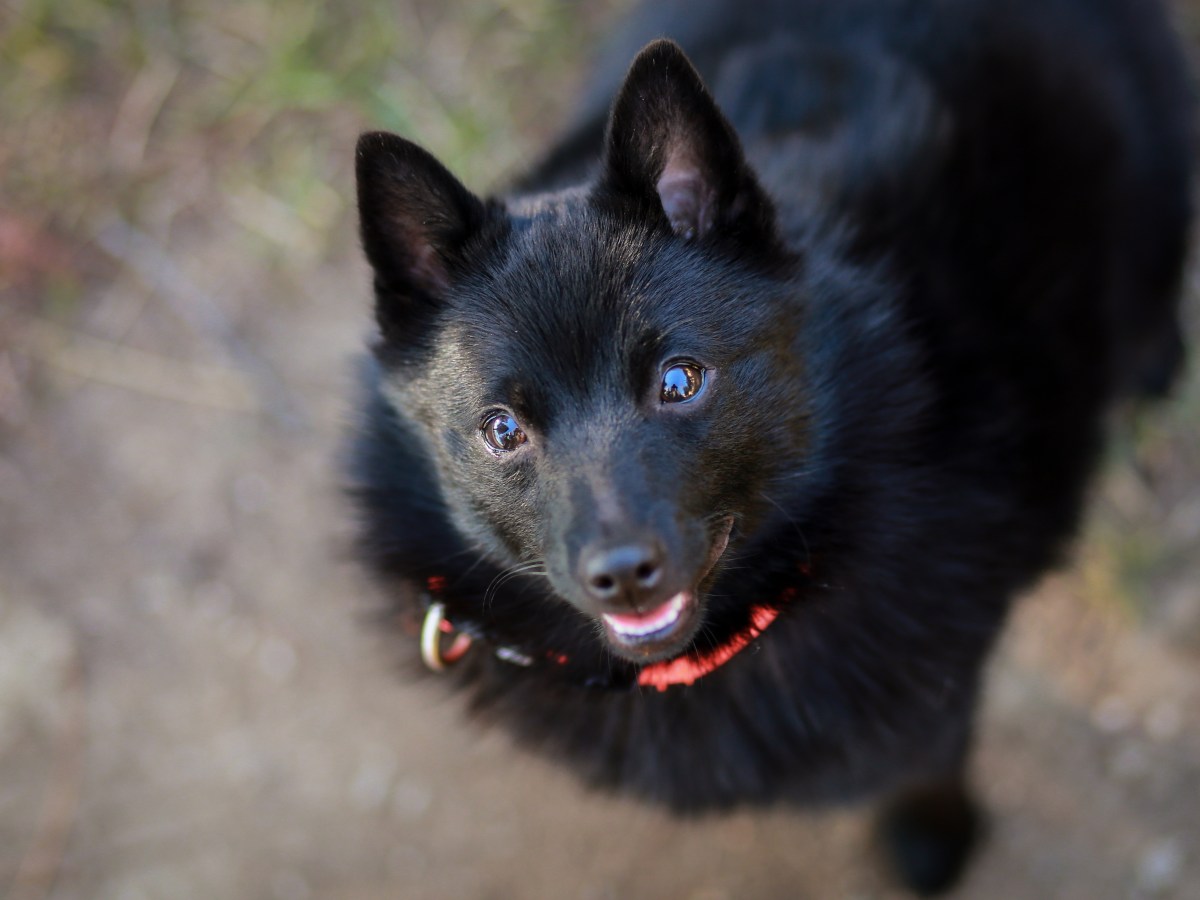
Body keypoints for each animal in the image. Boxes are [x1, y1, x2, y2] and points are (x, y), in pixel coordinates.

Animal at [348, 1, 1190, 897]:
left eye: (679, 380)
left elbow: (930, 761)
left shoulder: (937, 686)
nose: (622, 573)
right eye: (503, 429)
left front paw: (933, 836)